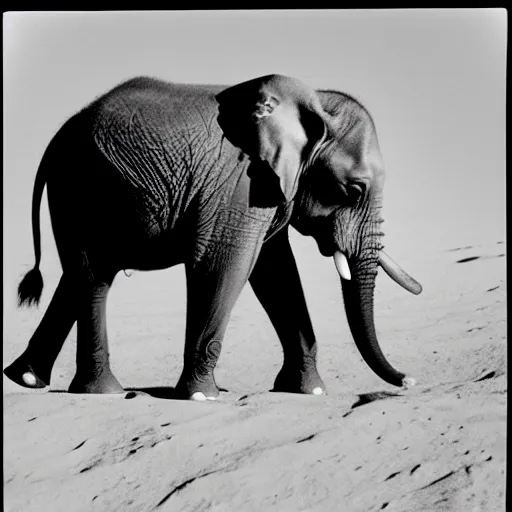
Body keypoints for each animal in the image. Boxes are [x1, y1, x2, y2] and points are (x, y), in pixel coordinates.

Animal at [3, 75, 420, 400]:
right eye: (354, 190)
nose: (407, 380)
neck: (313, 104)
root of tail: (57, 138)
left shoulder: (267, 189)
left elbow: (276, 273)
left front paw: (310, 391)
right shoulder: (240, 183)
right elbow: (225, 262)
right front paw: (202, 396)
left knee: (78, 275)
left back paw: (27, 378)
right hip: (81, 188)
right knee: (94, 276)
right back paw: (104, 392)